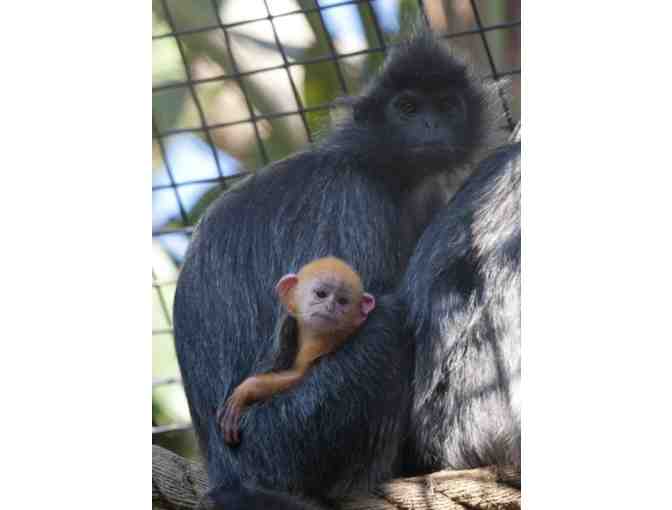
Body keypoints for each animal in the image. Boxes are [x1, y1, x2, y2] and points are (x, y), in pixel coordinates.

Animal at [218, 256, 376, 444]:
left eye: (343, 301)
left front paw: (247, 390)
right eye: (321, 294)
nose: (331, 307)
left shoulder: (318, 345)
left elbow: (301, 375)